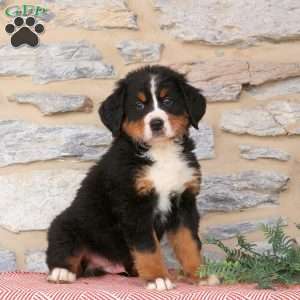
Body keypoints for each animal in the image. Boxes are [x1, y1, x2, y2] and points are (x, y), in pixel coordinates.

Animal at [46, 63, 206, 290]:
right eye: (139, 106)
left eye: (168, 101)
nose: (156, 123)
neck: (161, 153)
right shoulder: (132, 204)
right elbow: (148, 247)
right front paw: (158, 278)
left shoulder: (184, 202)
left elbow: (189, 243)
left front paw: (199, 275)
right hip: (65, 224)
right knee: (64, 250)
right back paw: (61, 272)